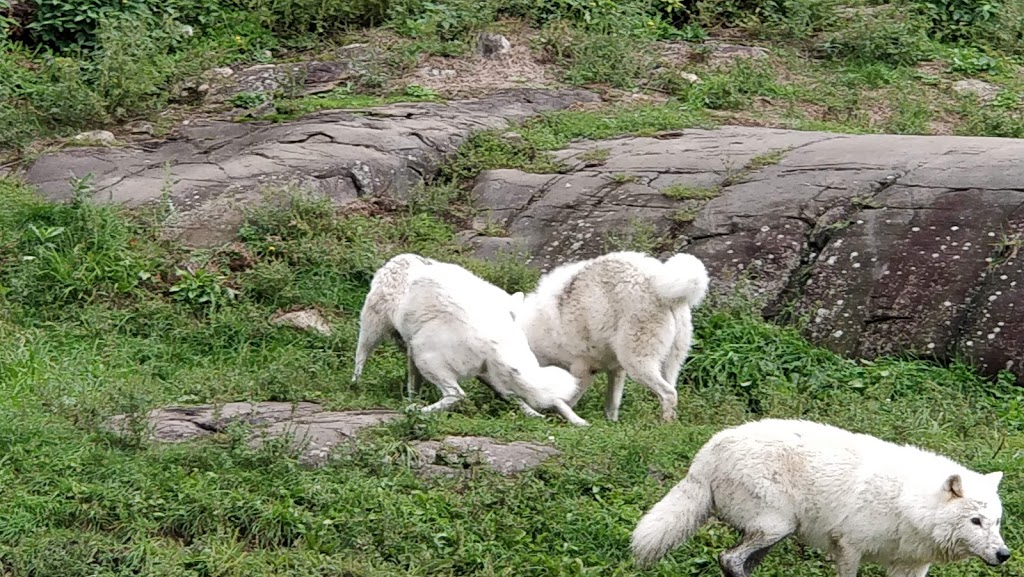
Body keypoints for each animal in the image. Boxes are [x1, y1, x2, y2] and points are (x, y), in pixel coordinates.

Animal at [391, 266, 585, 424]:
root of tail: (493, 342)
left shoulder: (411, 350)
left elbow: (412, 383)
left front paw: (411, 400)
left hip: (424, 356)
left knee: (457, 395)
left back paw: (417, 411)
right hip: (501, 375)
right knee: (523, 397)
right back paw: (572, 420)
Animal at [509, 251, 704, 422]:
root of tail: (660, 287)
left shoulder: (583, 368)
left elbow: (566, 399)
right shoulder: (616, 370)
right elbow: (612, 405)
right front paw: (612, 425)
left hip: (637, 364)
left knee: (668, 394)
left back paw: (664, 425)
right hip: (668, 365)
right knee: (671, 390)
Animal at [626, 420, 1011, 577]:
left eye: (996, 522)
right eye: (975, 521)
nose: (1004, 555)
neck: (908, 503)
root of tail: (707, 451)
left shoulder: (912, 566)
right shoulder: (849, 547)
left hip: (774, 534)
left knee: (736, 562)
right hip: (777, 527)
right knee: (730, 558)